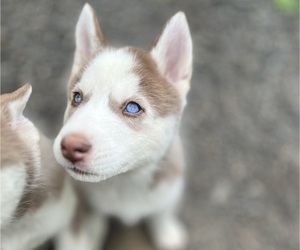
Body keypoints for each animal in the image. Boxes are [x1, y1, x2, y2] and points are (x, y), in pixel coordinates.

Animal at [53, 4, 192, 250]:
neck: (126, 181)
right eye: (77, 98)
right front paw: (82, 239)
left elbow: (163, 210)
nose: (69, 146)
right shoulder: (80, 195)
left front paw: (167, 232)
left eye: (133, 107)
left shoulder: (170, 183)